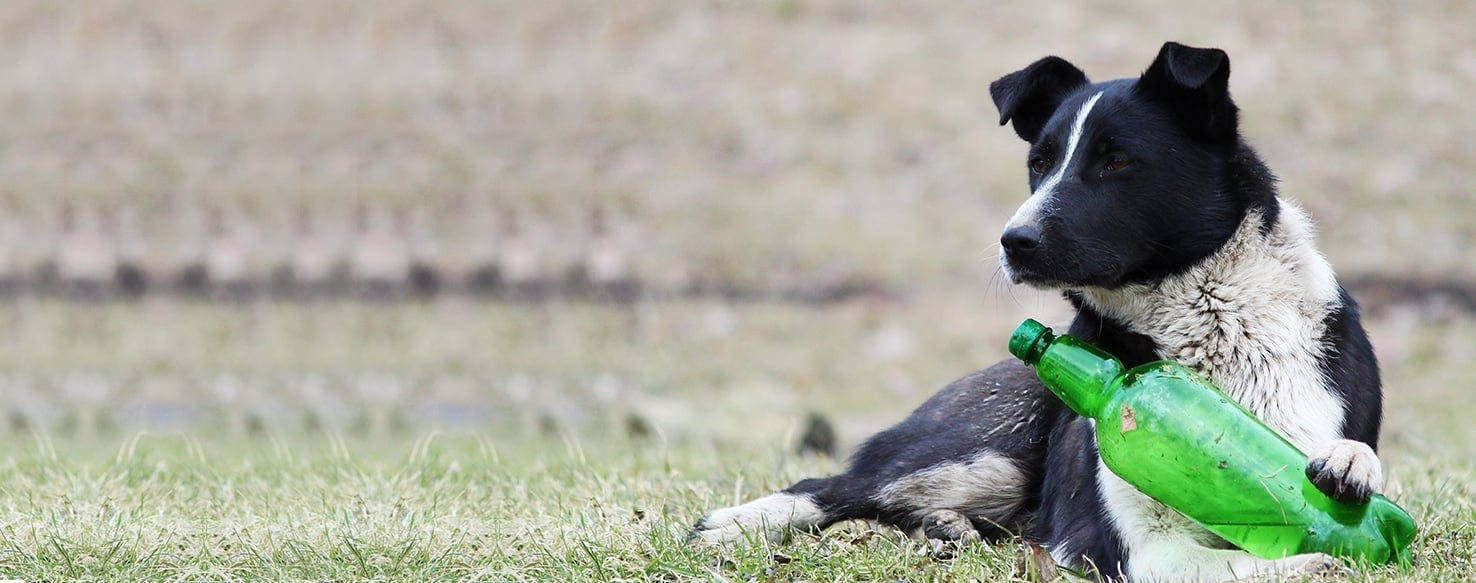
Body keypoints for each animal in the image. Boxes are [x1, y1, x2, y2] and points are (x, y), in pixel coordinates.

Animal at [687, 42, 1381, 583]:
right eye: (1038, 163)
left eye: (1116, 160)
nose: (1012, 241)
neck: (1207, 324)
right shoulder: (1136, 545)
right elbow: (1221, 562)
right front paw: (1310, 561)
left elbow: (1347, 469)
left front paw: (1350, 469)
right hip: (984, 451)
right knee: (833, 490)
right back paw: (734, 526)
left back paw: (947, 527)